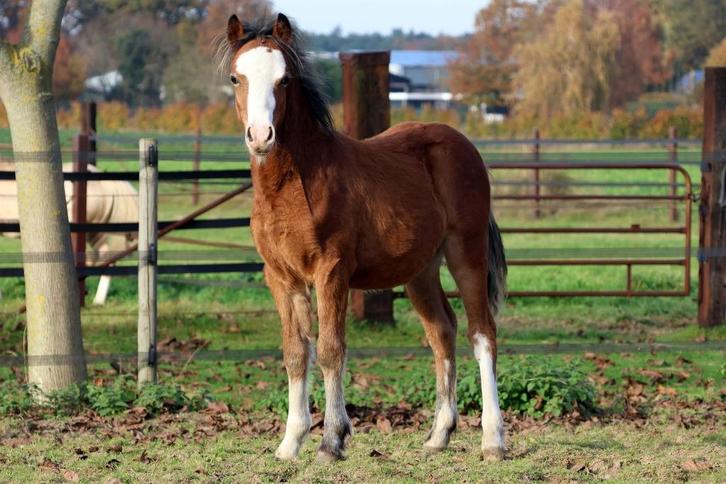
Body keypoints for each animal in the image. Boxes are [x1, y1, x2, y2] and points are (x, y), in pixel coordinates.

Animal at [217, 13, 507, 462]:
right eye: (236, 77)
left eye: (285, 79)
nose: (261, 135)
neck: (294, 185)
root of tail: (465, 146)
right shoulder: (281, 277)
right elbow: (295, 352)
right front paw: (289, 443)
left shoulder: (331, 272)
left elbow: (331, 350)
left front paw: (331, 440)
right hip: (421, 270)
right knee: (442, 332)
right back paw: (439, 435)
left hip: (467, 253)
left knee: (482, 333)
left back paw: (493, 440)